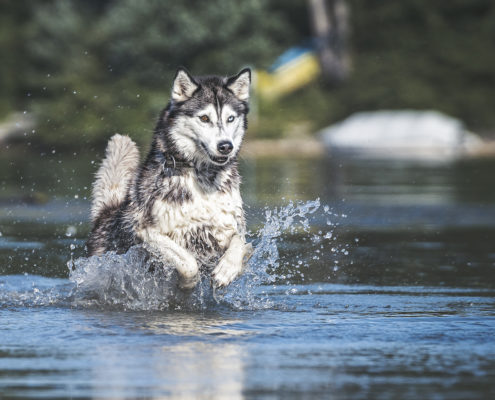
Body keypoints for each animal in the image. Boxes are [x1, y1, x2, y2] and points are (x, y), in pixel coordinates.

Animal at [85, 67, 254, 290]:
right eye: (204, 118)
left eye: (231, 118)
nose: (226, 146)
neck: (203, 178)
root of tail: (106, 213)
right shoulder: (146, 231)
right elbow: (188, 263)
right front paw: (187, 283)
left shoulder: (229, 226)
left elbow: (239, 242)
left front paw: (229, 269)